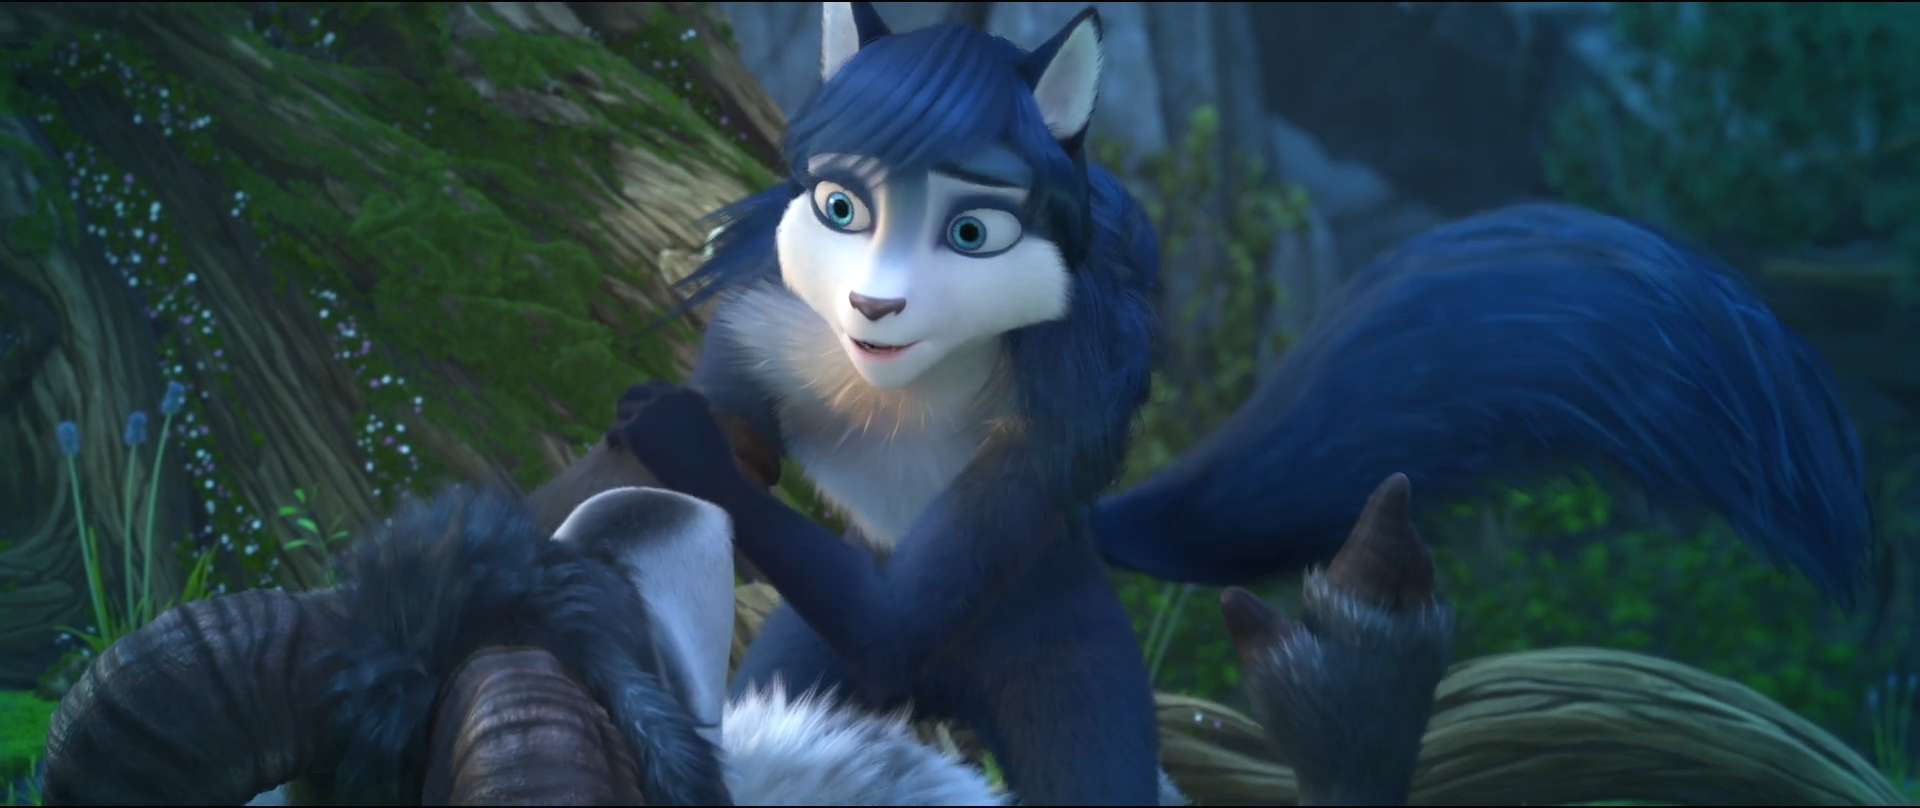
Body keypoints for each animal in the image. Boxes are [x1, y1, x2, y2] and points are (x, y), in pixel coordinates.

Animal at [610, 2, 1872, 804]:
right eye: (839, 206)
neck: (902, 381)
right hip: (810, 666)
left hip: (1059, 646)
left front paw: (665, 429)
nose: (874, 305)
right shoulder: (767, 340)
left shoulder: (1038, 450)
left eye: (973, 231)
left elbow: (894, 601)